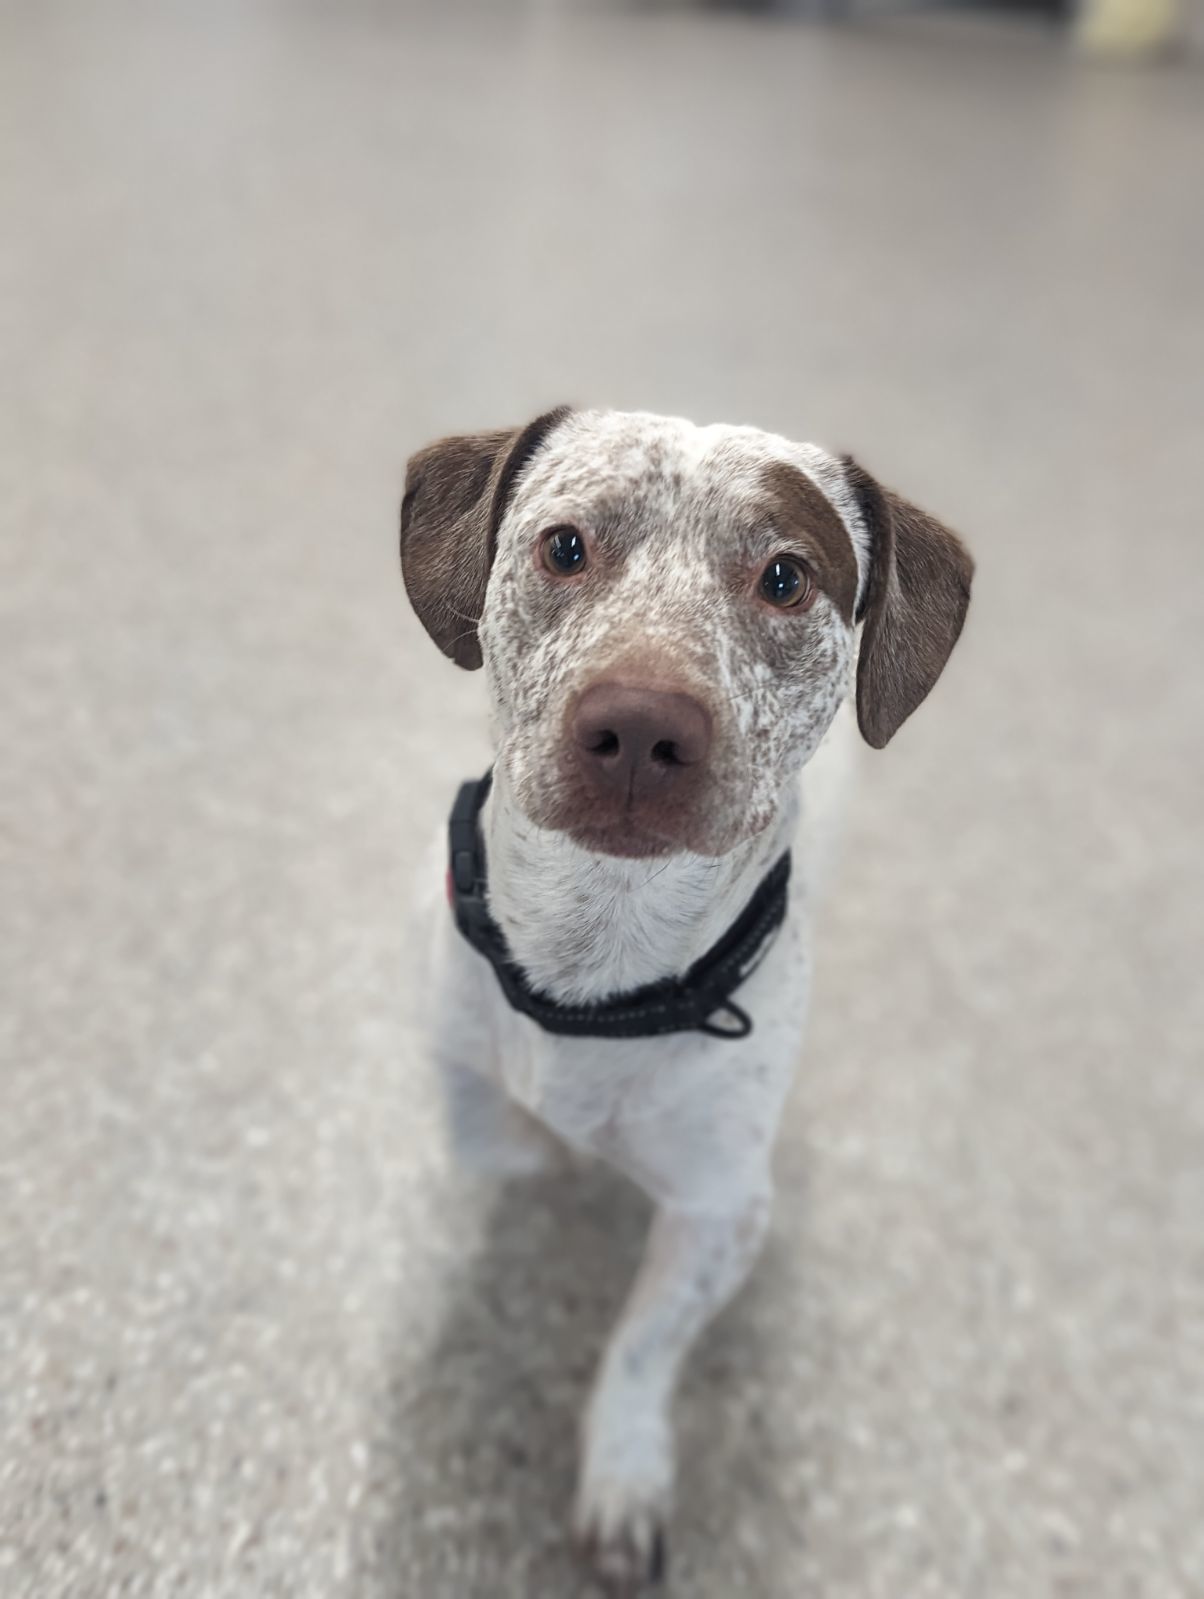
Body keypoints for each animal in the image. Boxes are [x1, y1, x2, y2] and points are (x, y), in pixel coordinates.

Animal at [399, 402, 972, 1586]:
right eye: (565, 545)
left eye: (785, 577)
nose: (639, 726)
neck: (598, 963)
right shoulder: (455, 1045)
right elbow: (502, 1139)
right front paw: (557, 1157)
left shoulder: (723, 1209)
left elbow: (639, 1347)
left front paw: (621, 1466)